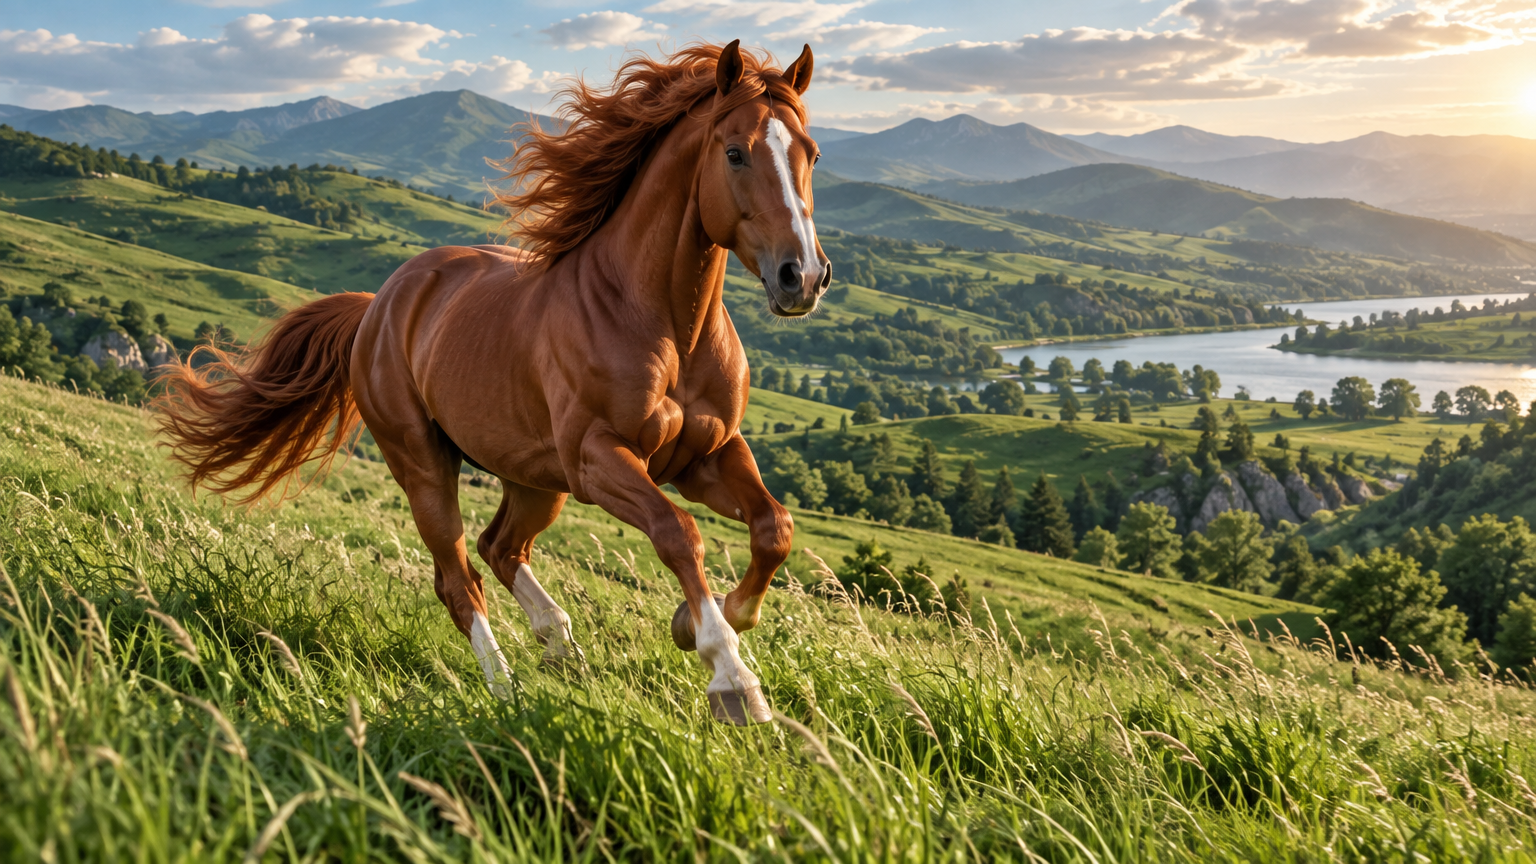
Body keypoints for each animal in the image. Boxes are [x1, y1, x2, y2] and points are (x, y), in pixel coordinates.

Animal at [154, 41, 829, 725]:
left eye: (812, 153)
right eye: (735, 152)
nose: (802, 276)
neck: (664, 326)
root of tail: (378, 305)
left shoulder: (708, 455)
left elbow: (774, 529)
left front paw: (698, 625)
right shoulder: (599, 459)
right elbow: (679, 535)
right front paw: (731, 678)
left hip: (534, 479)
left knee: (499, 546)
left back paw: (560, 648)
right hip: (426, 466)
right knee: (459, 578)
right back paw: (508, 692)